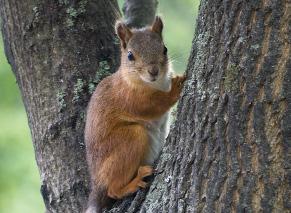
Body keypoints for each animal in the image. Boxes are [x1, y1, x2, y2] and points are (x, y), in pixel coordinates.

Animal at [84, 15, 186, 212]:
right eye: (130, 55)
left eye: (164, 49)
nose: (153, 71)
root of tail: (96, 184)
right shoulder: (129, 98)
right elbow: (154, 104)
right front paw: (177, 86)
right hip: (130, 138)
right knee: (113, 190)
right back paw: (134, 182)